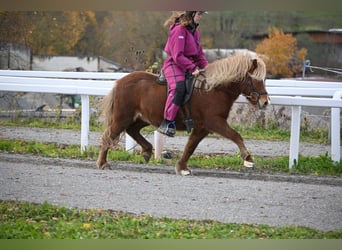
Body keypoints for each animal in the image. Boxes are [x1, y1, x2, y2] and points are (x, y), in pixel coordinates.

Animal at [96, 52, 270, 176]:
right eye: (255, 80)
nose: (265, 102)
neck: (212, 89)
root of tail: (120, 82)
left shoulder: (202, 127)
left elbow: (190, 147)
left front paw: (181, 167)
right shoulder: (215, 122)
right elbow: (236, 136)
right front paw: (248, 159)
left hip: (143, 117)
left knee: (132, 130)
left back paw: (147, 151)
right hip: (122, 117)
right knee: (109, 135)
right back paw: (103, 163)